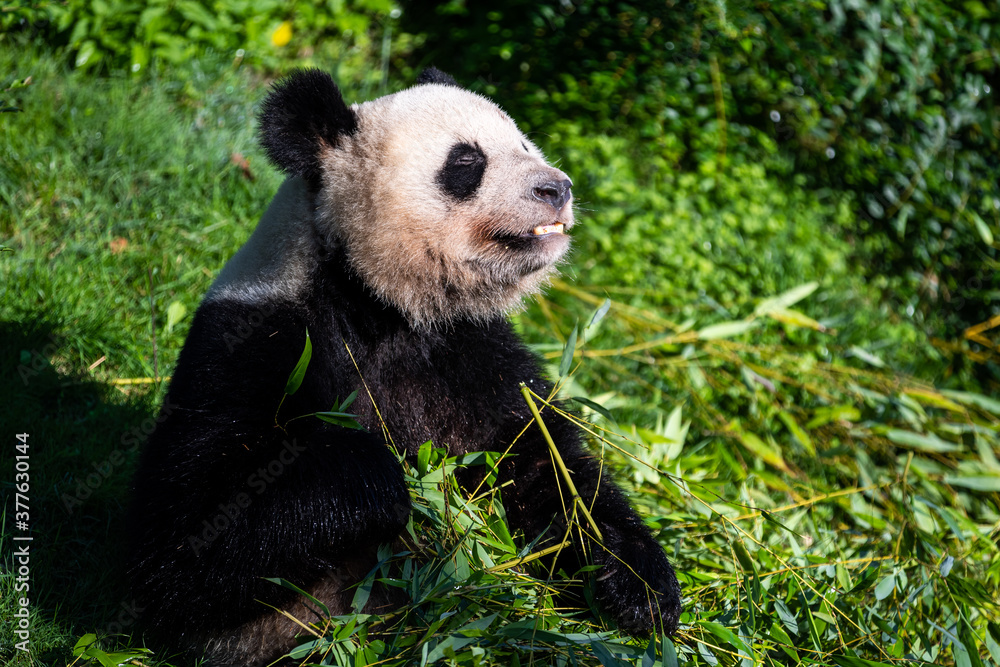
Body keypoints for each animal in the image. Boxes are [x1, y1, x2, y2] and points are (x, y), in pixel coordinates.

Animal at [128, 67, 681, 666]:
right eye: (466, 162)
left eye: (524, 145)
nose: (557, 188)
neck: (383, 305)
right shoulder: (254, 347)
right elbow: (186, 542)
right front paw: (388, 483)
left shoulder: (473, 352)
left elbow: (546, 471)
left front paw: (640, 588)